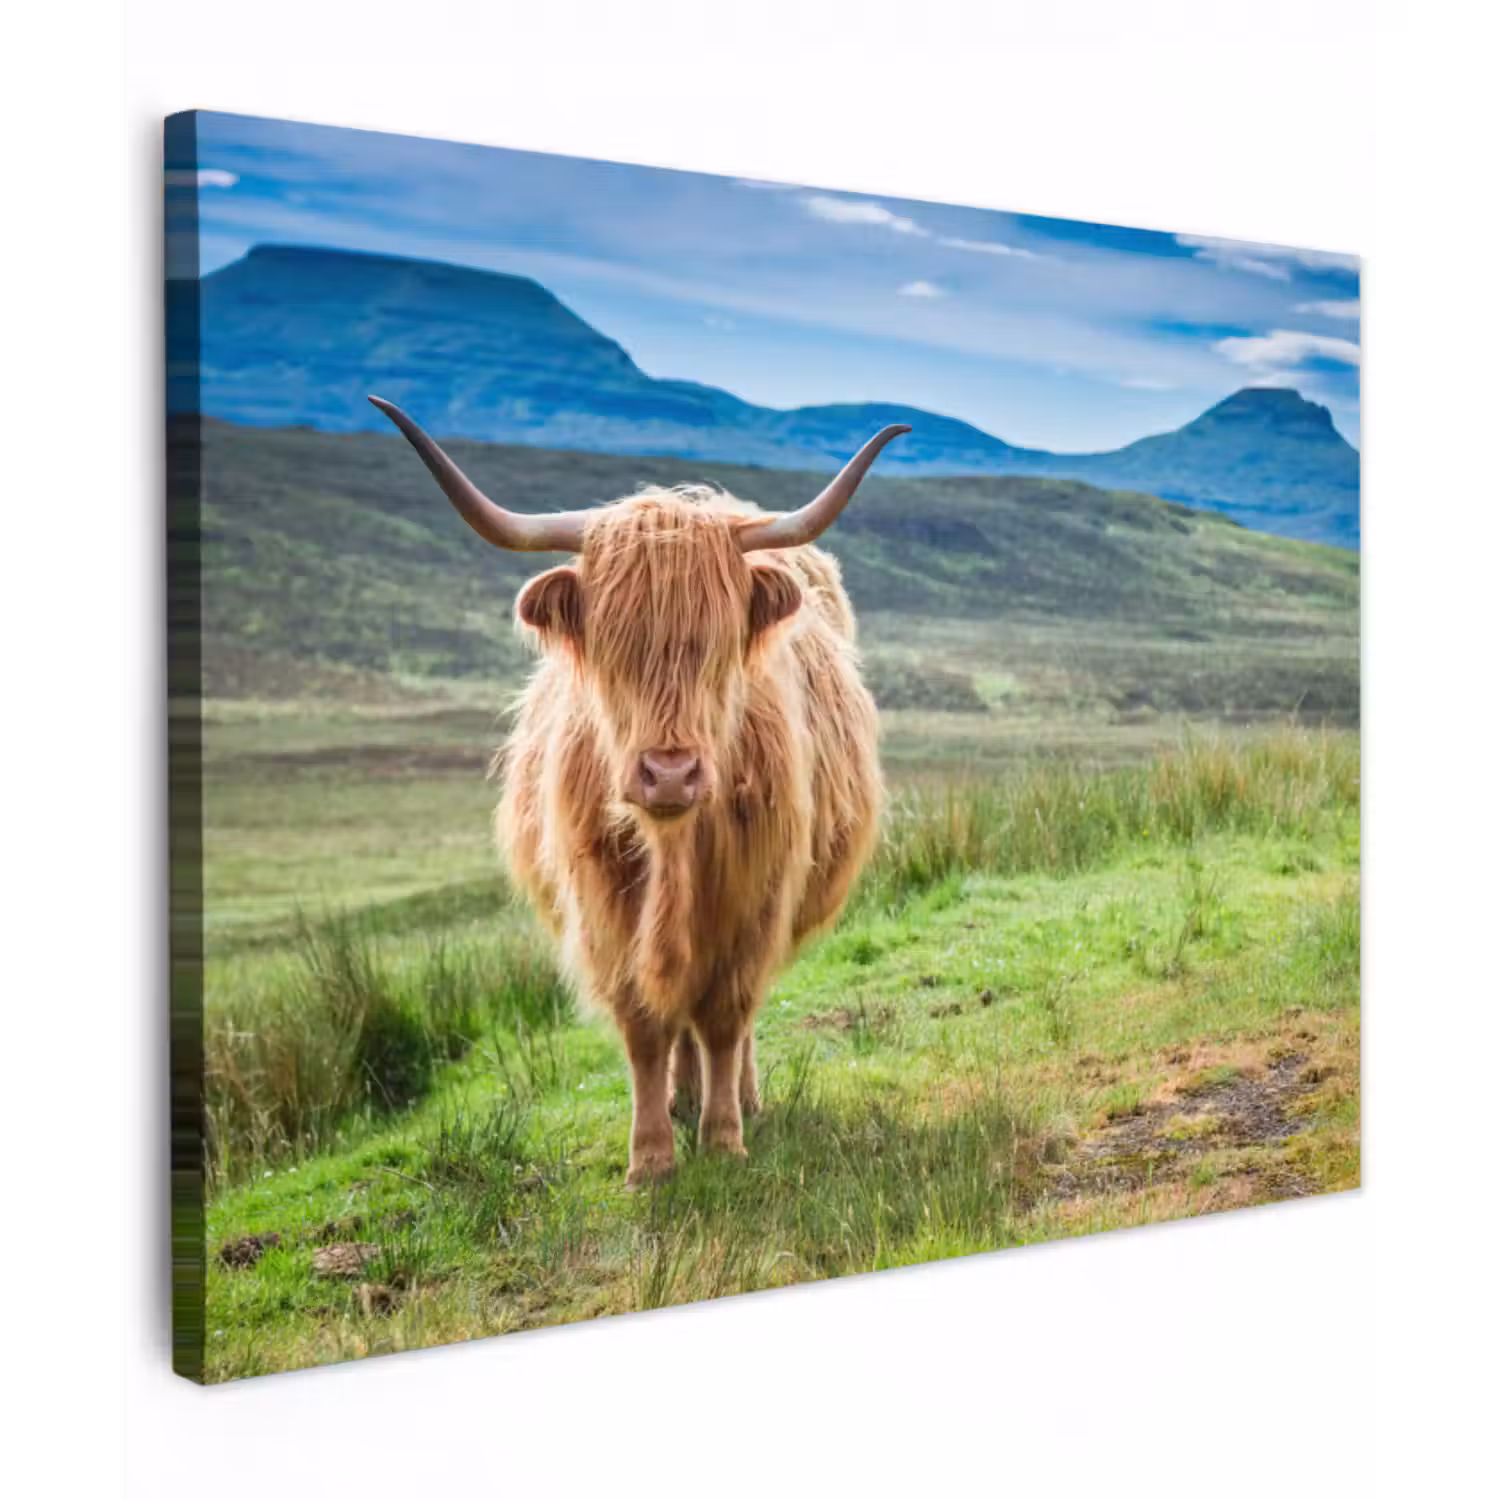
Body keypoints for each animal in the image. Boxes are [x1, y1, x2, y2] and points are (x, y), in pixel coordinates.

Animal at [368, 396, 904, 1185]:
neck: (674, 847)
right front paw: (651, 1157)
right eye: (612, 645)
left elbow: (726, 1016)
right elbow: (646, 1025)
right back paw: (682, 1100)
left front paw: (724, 1139)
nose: (670, 773)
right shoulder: (604, 907)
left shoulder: (755, 899)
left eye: (717, 644)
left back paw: (738, 1099)